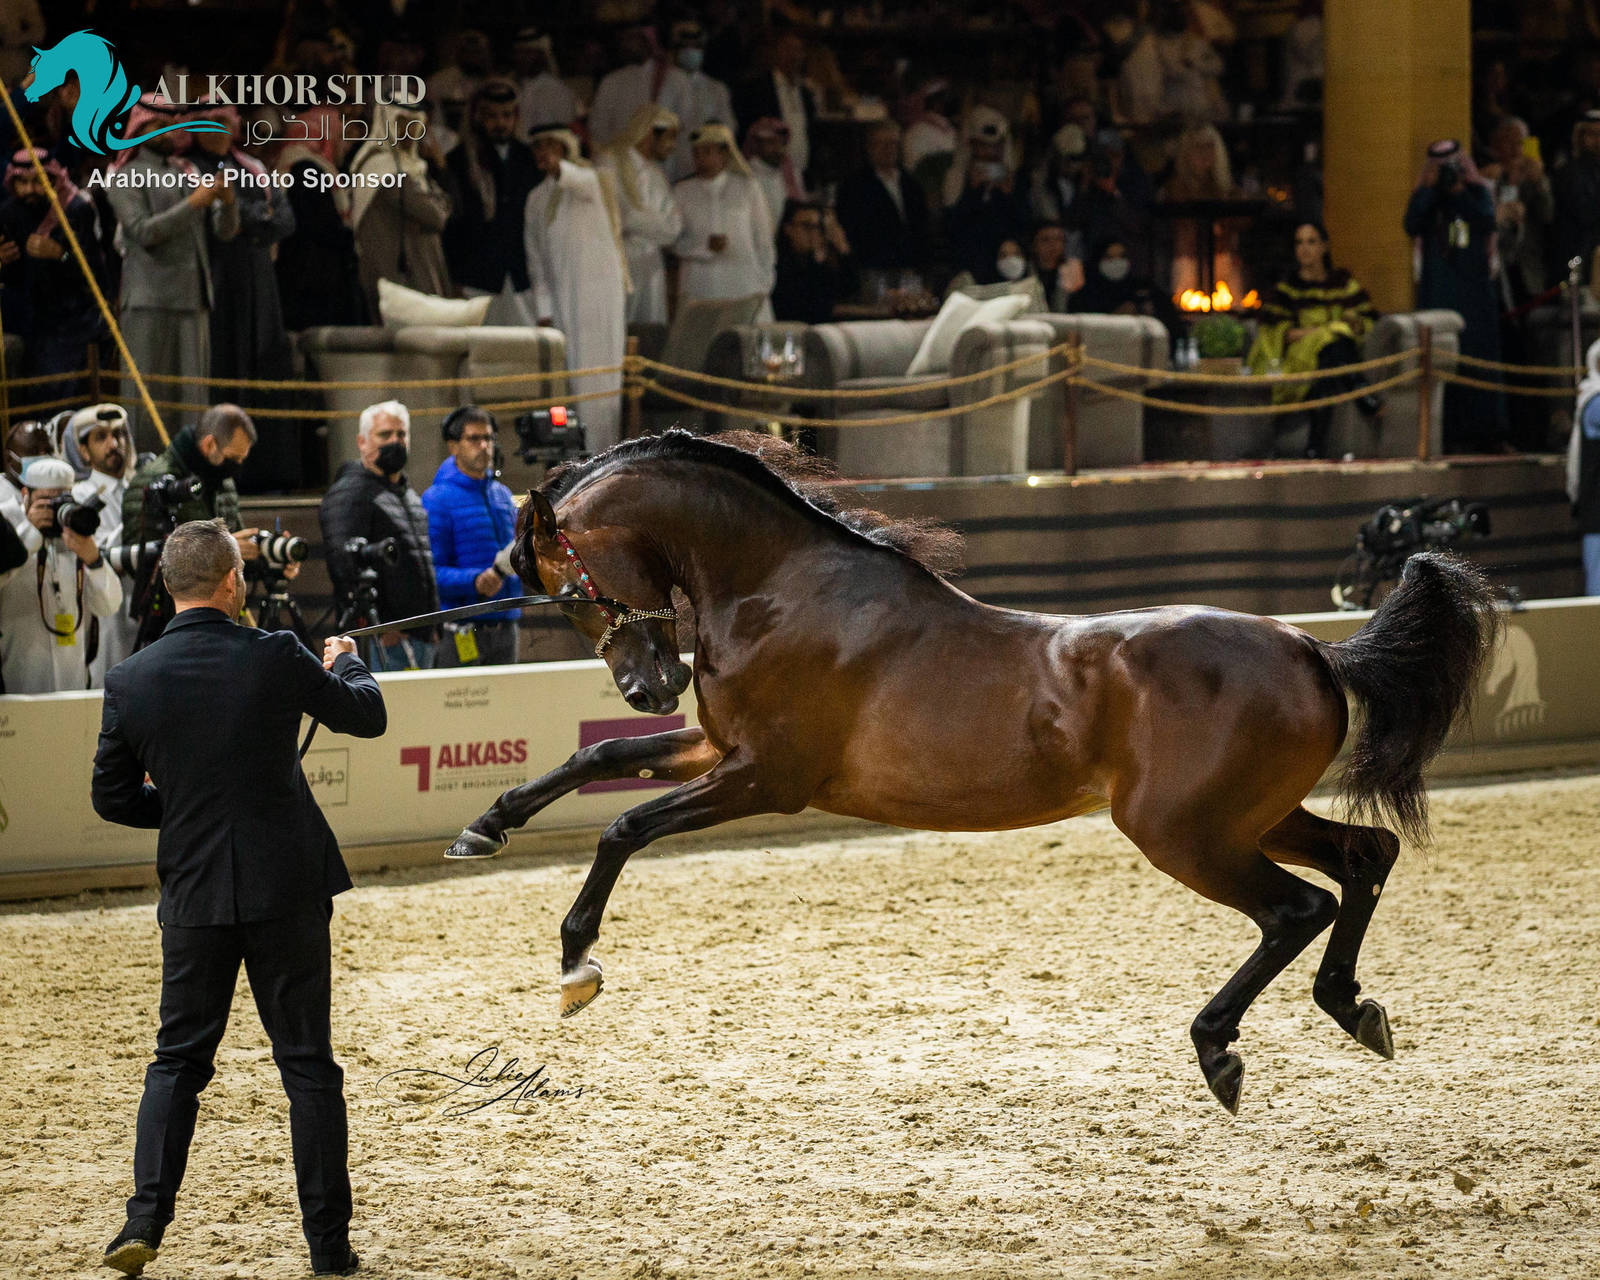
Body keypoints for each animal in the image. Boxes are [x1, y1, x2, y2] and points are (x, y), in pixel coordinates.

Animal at [445, 430, 1500, 1113]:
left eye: (572, 587)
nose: (646, 684)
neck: (785, 590)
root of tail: (1314, 647)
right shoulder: (721, 750)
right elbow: (597, 758)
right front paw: (482, 828)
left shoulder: (765, 779)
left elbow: (623, 823)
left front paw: (577, 962)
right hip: (1255, 816)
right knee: (1364, 859)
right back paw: (1353, 1009)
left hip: (1184, 833)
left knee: (1297, 906)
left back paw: (1221, 1051)